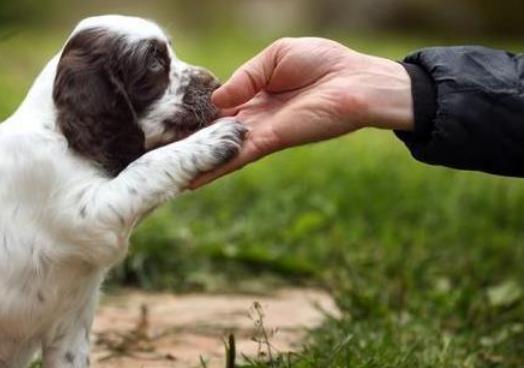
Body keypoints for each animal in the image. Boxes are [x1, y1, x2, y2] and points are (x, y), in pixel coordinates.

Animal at [0, 15, 246, 368]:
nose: (216, 84)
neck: (59, 134)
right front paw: (210, 141)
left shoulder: (70, 328)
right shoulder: (87, 214)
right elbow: (144, 167)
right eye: (154, 62)